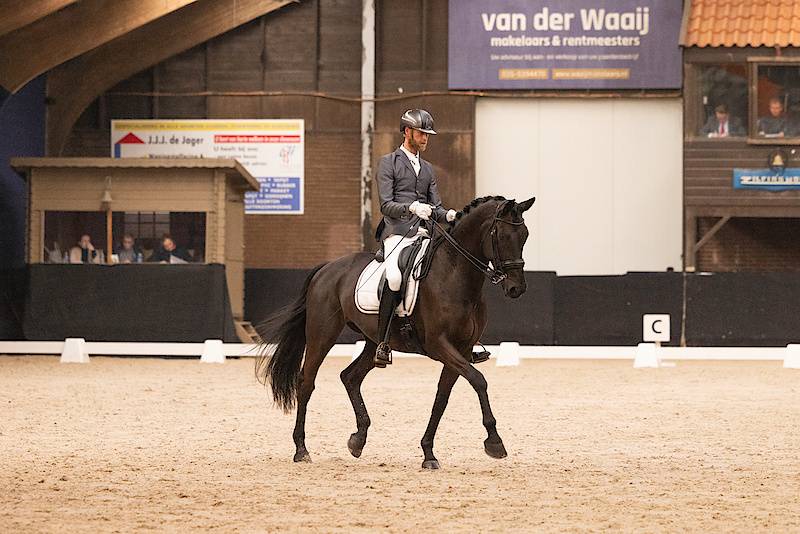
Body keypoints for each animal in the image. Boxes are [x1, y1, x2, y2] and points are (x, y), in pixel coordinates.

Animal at [255, 195, 535, 469]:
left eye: (525, 236)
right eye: (502, 236)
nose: (517, 288)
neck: (455, 275)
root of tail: (326, 269)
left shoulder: (462, 349)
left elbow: (442, 397)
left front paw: (428, 452)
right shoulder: (439, 345)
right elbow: (478, 380)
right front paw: (495, 442)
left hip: (374, 340)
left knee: (350, 377)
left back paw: (358, 439)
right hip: (322, 334)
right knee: (306, 382)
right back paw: (301, 450)